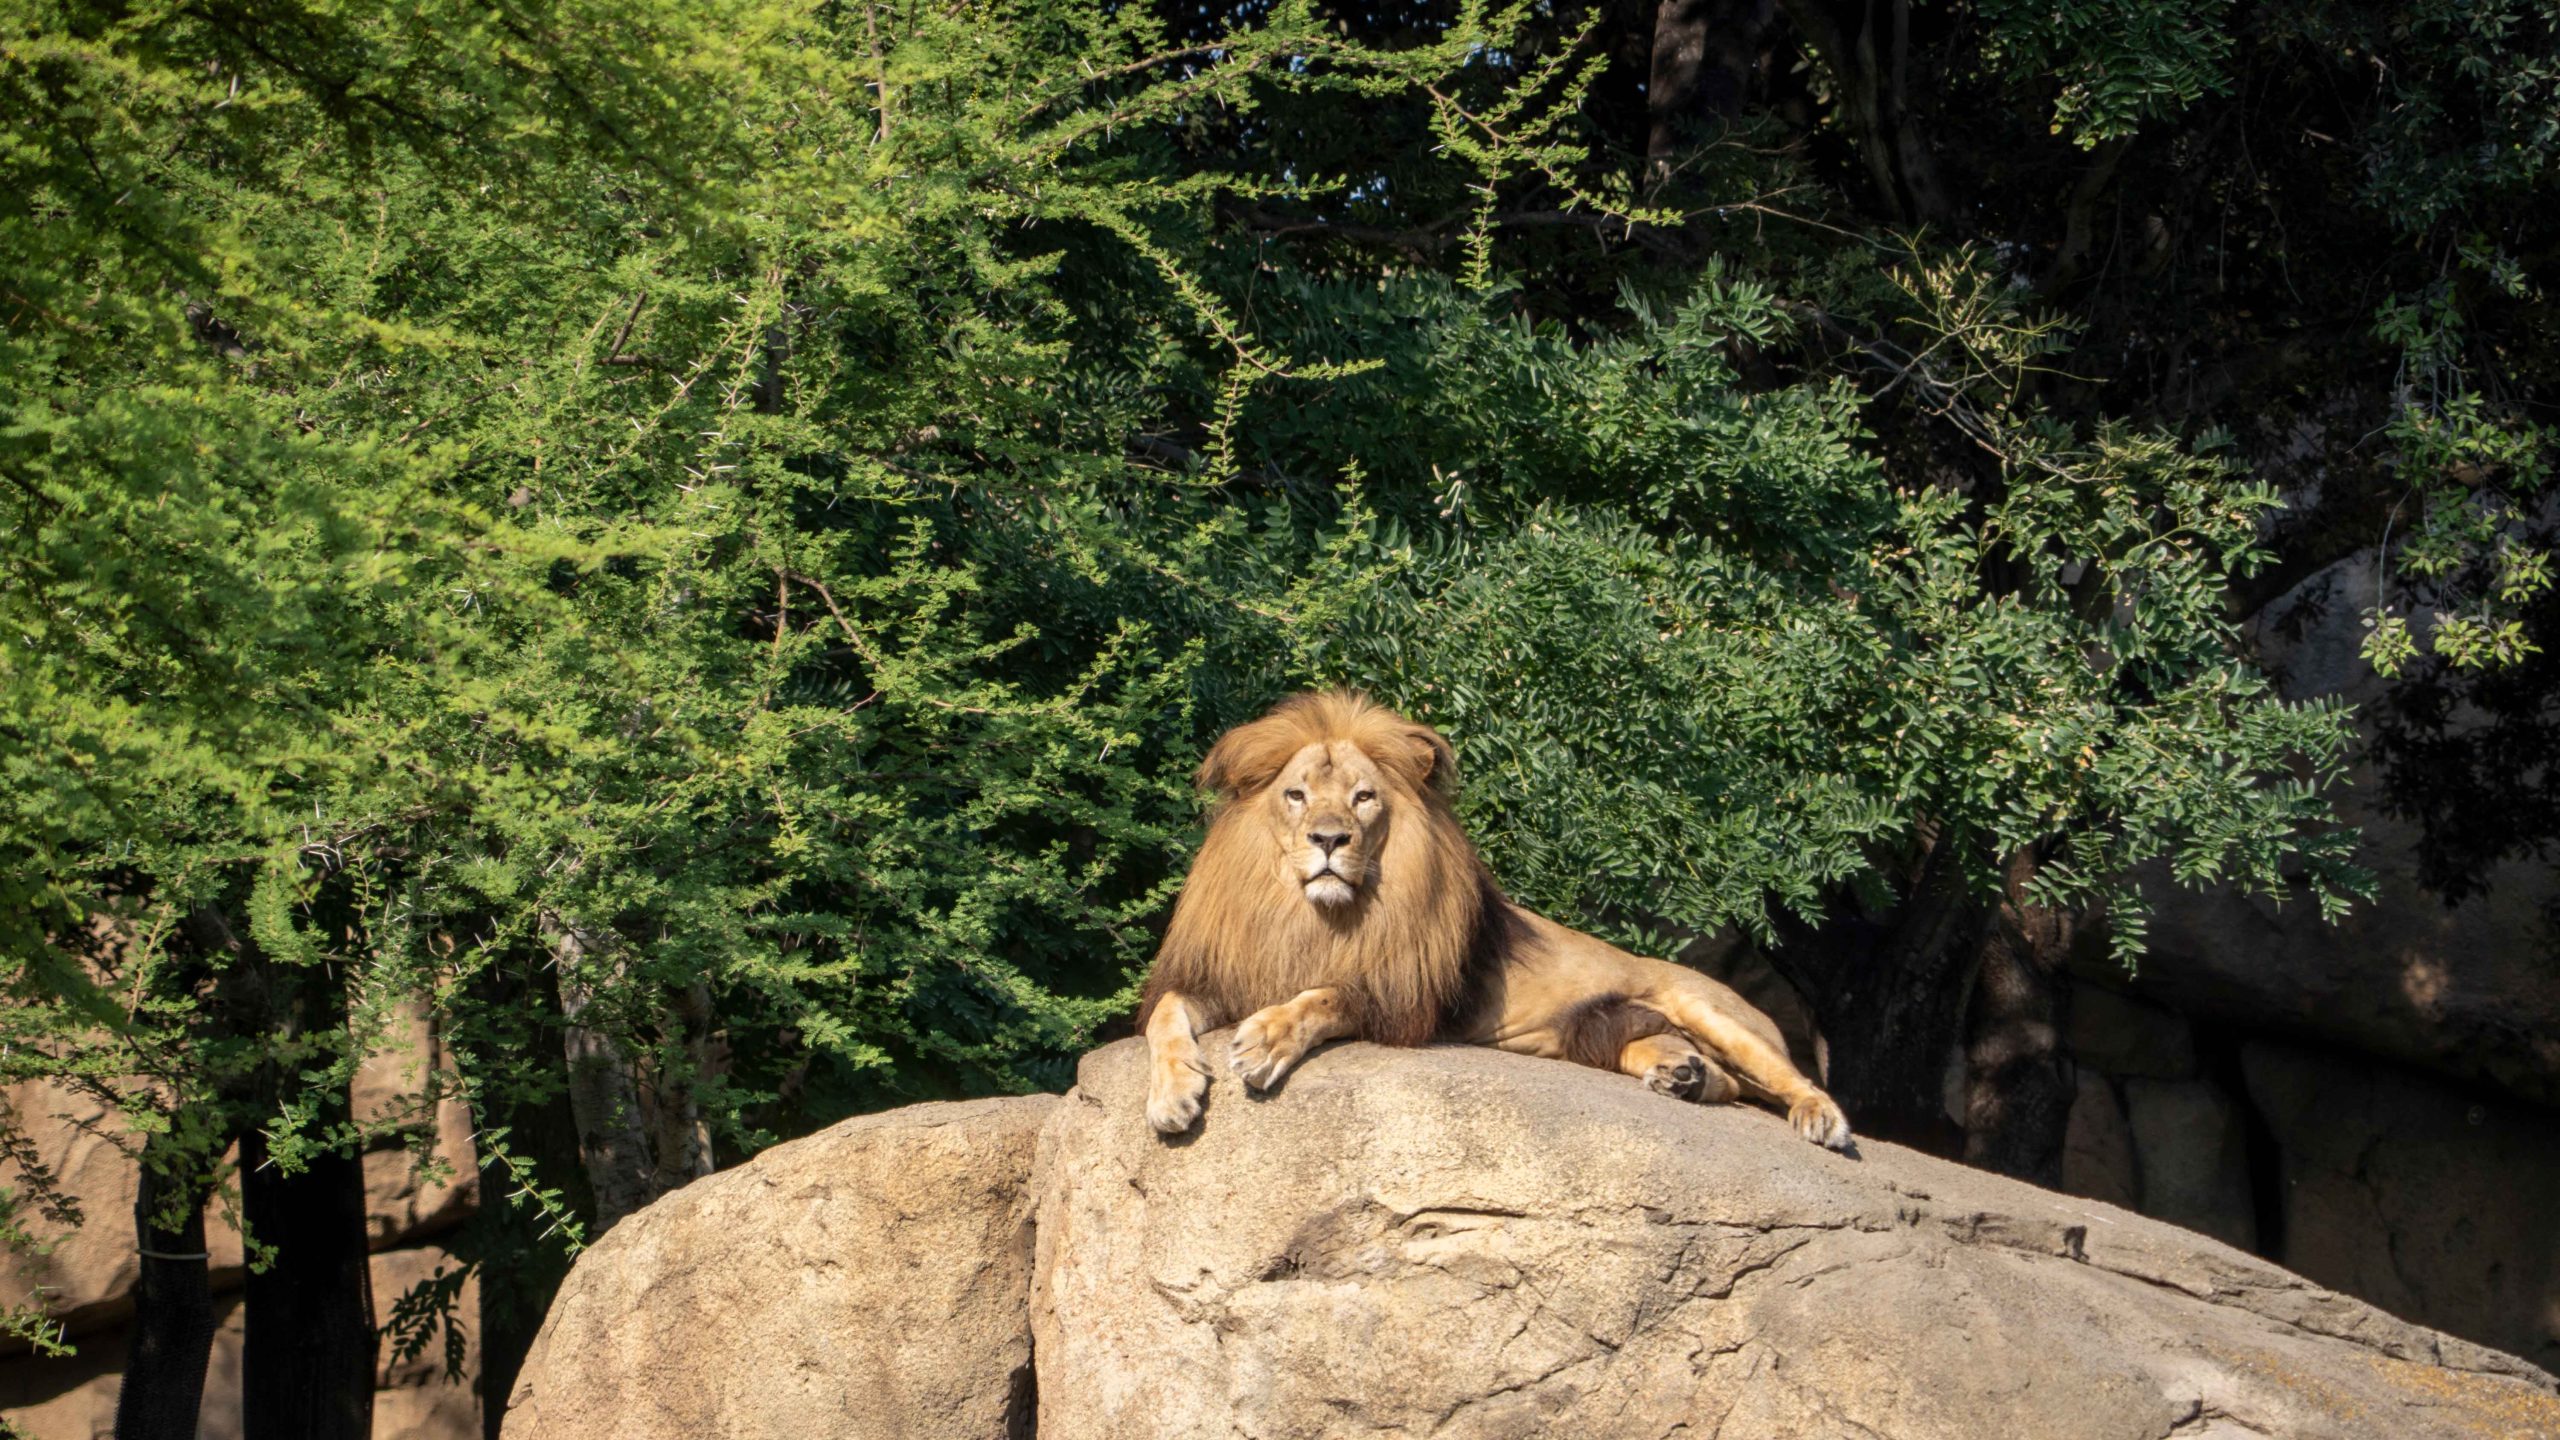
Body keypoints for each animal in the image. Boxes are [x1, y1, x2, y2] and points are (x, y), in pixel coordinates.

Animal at [1136, 689, 1852, 1149]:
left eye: (1364, 798)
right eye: (1296, 794)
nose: (1330, 839)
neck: (1311, 916)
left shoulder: (1400, 1000)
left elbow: (1322, 997)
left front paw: (1267, 1039)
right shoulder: (1226, 975)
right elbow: (1163, 1016)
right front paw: (1173, 1094)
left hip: (1709, 1008)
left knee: (1780, 1077)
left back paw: (1821, 1120)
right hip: (1603, 1032)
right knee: (1715, 1077)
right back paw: (1682, 1076)